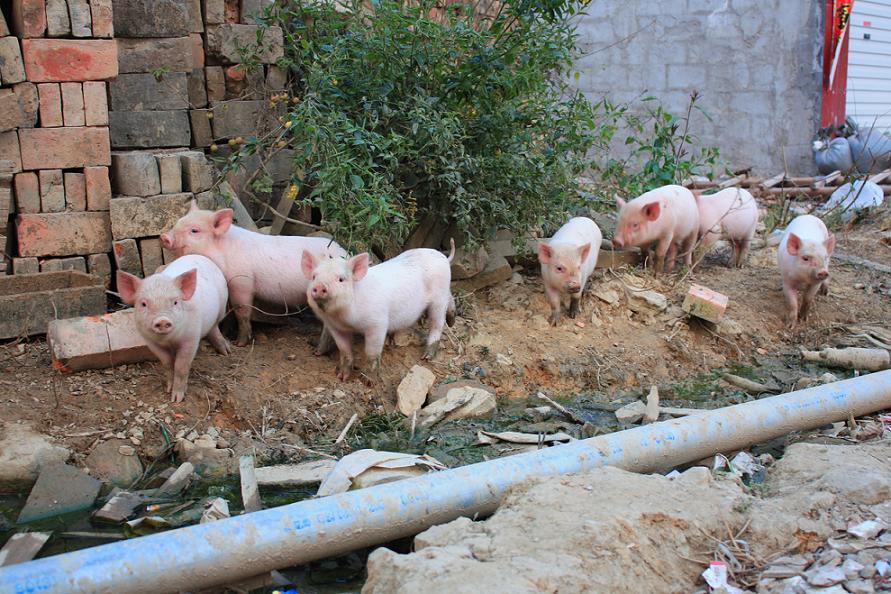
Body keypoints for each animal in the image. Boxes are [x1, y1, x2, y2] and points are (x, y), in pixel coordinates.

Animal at [117, 254, 230, 403]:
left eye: (175, 302)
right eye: (143, 304)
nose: (162, 320)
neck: (169, 340)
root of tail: (198, 255)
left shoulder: (191, 338)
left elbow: (181, 366)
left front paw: (177, 399)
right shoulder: (151, 342)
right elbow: (167, 363)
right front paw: (168, 389)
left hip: (223, 304)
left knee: (215, 326)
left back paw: (226, 352)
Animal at [161, 202, 348, 348]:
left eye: (194, 230)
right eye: (178, 222)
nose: (164, 236)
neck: (223, 251)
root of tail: (346, 253)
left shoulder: (242, 282)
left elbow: (241, 311)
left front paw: (239, 343)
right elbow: (230, 310)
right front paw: (227, 333)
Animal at [301, 242, 456, 382]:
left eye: (341, 279)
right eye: (314, 277)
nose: (319, 286)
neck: (342, 317)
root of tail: (442, 256)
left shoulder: (377, 323)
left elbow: (372, 353)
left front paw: (369, 382)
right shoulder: (335, 327)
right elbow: (344, 351)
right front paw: (342, 377)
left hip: (438, 297)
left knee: (437, 323)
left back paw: (427, 356)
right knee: (450, 299)